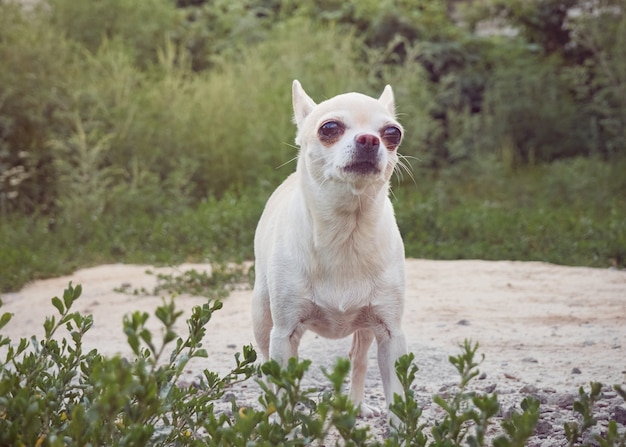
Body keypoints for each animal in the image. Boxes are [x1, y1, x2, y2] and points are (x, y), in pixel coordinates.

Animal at [251, 81, 408, 420]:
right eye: (330, 128)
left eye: (393, 133)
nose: (369, 139)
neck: (347, 232)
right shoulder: (284, 333)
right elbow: (281, 384)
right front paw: (280, 424)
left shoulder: (391, 334)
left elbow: (399, 397)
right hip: (262, 316)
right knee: (263, 363)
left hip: (366, 328)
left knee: (358, 359)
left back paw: (356, 405)